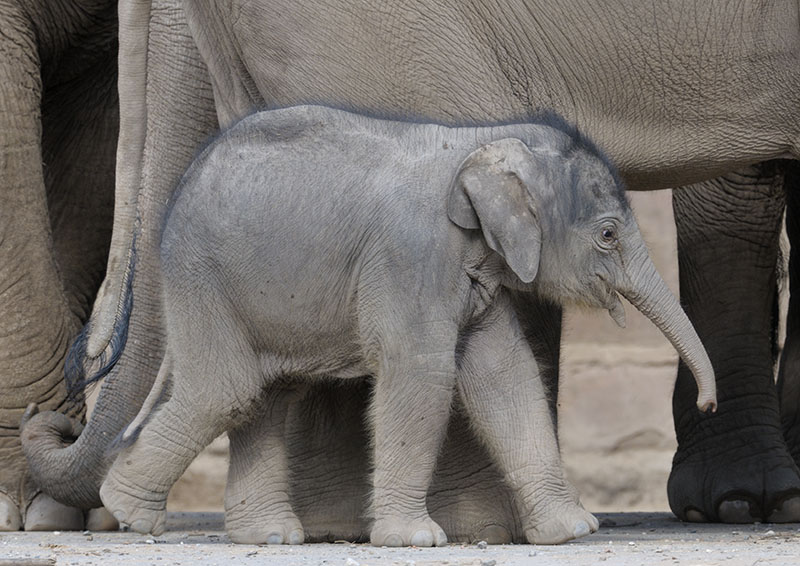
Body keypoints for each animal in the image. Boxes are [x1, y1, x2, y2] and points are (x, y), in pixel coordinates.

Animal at [96, 105, 715, 546]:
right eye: (608, 234)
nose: (707, 404)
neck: (481, 140)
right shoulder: (409, 257)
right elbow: (423, 376)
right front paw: (416, 539)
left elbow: (506, 377)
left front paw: (574, 531)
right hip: (200, 277)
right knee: (228, 391)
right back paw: (127, 513)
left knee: (266, 394)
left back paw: (269, 536)